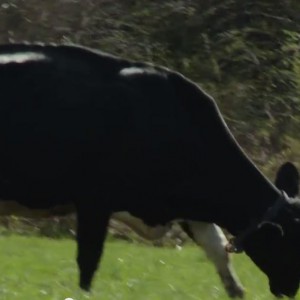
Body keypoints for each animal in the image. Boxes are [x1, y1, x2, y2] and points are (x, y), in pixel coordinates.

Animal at [0, 43, 300, 298]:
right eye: (292, 245)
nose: (291, 290)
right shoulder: (95, 200)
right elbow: (88, 259)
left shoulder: (190, 208)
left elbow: (217, 249)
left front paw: (236, 290)